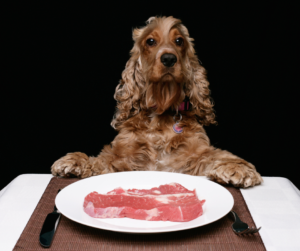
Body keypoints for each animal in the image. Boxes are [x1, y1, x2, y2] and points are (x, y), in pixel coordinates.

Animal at [51, 15, 262, 187]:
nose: (169, 58)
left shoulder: (192, 156)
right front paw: (76, 160)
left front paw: (237, 168)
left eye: (179, 41)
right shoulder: (125, 158)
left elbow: (217, 155)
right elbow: (104, 160)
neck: (162, 111)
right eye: (151, 41)